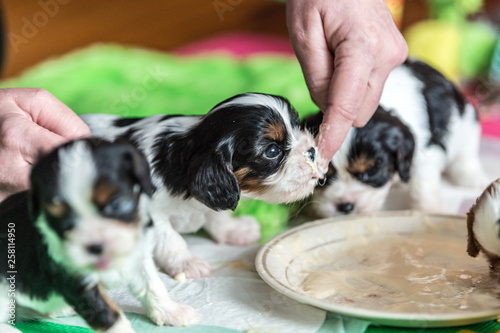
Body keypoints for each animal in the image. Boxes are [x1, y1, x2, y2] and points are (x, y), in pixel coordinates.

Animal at [0, 138, 199, 332]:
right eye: (59, 218)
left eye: (117, 204)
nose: (95, 246)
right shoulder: (74, 277)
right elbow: (107, 315)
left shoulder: (138, 253)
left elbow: (152, 283)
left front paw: (171, 310)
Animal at [81, 92, 324, 278]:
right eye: (272, 151)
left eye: (298, 126)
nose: (312, 151)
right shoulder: (148, 212)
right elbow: (171, 239)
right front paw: (186, 263)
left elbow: (216, 216)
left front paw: (235, 230)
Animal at [302, 58, 486, 217]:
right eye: (322, 177)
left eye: (372, 170)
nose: (345, 207)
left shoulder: (427, 151)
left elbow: (422, 185)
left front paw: (426, 210)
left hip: (467, 122)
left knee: (466, 153)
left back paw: (472, 176)